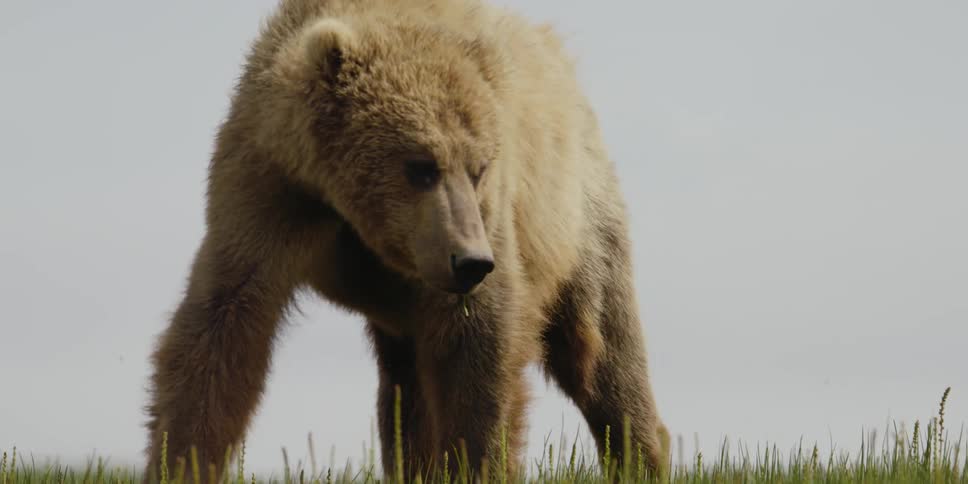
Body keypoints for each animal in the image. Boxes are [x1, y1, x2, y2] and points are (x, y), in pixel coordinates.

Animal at [143, 0, 670, 481]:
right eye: (420, 166)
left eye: (479, 168)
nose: (471, 261)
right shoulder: (271, 193)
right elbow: (224, 324)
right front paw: (179, 459)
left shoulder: (485, 228)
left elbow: (481, 345)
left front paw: (478, 461)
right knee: (405, 390)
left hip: (577, 217)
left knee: (599, 346)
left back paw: (644, 453)